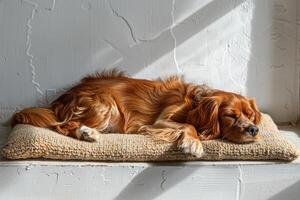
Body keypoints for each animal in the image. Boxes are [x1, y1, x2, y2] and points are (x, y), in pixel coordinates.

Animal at [11, 69, 260, 157]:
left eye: (250, 114)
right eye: (230, 115)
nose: (254, 129)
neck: (194, 104)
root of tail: (61, 98)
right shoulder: (160, 121)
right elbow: (189, 126)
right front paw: (193, 144)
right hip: (106, 105)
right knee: (63, 126)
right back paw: (87, 133)